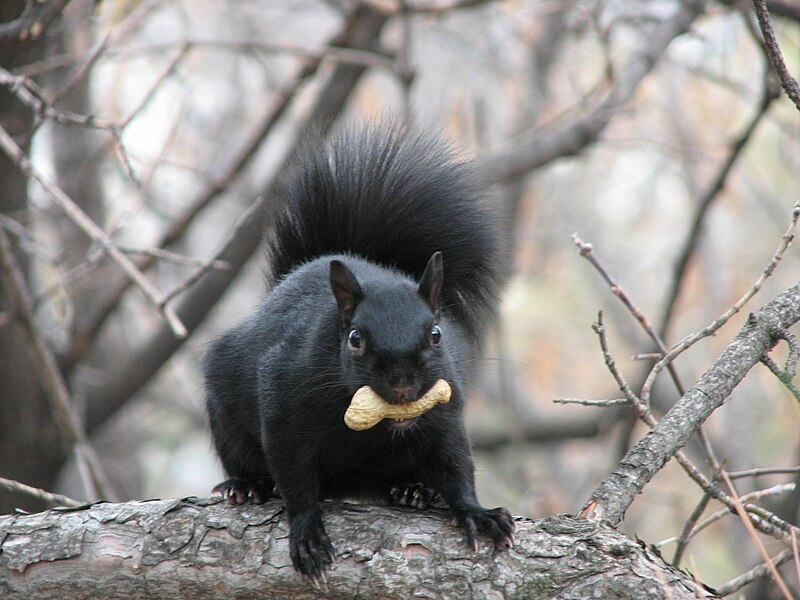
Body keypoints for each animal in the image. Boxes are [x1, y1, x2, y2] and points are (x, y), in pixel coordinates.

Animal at [203, 123, 516, 580]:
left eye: (436, 334)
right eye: (355, 338)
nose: (403, 384)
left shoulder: (445, 413)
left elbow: (455, 464)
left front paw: (477, 513)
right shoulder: (283, 404)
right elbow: (294, 478)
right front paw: (307, 533)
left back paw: (412, 491)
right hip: (225, 410)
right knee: (246, 458)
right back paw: (247, 486)